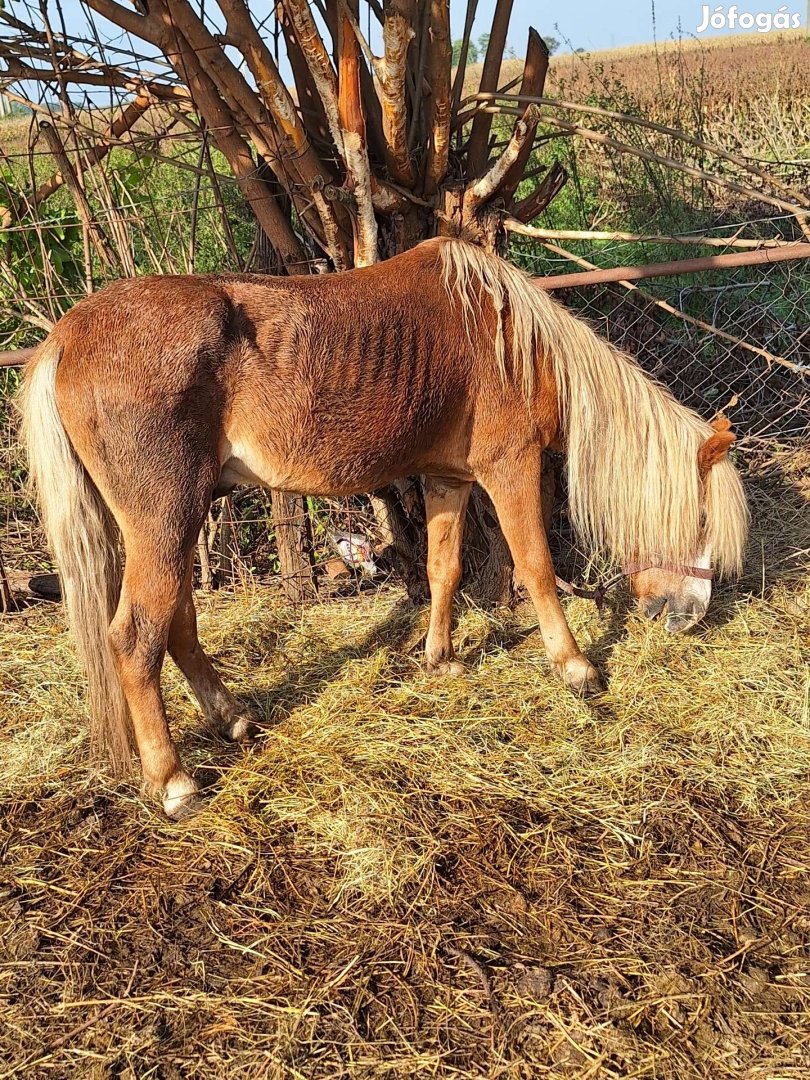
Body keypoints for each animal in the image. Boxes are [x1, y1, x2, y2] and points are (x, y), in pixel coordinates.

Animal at [23, 234, 747, 812]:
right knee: (135, 638)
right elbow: (537, 567)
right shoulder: (510, 467)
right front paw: (576, 669)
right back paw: (174, 782)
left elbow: (443, 568)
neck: (513, 342)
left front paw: (441, 659)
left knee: (176, 626)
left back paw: (233, 721)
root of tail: (66, 337)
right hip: (165, 519)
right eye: (700, 520)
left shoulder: (449, 479)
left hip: (172, 522)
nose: (690, 617)